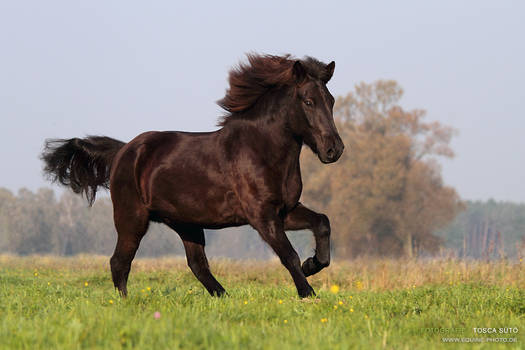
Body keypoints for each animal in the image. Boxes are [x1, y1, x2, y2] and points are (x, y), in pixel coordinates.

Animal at [41, 54, 344, 298]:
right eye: (308, 101)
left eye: (330, 100)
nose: (334, 149)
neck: (261, 149)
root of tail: (123, 151)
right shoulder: (262, 216)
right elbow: (288, 255)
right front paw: (308, 293)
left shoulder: (285, 211)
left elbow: (323, 222)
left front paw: (313, 265)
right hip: (131, 219)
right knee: (119, 262)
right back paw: (125, 304)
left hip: (186, 223)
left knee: (197, 264)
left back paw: (224, 297)